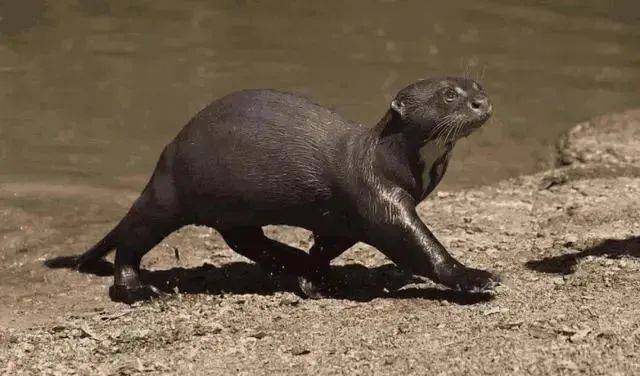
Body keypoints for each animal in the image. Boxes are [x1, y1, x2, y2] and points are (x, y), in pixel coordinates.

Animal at [53, 75, 500, 302]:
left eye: (477, 85)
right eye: (448, 95)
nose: (482, 102)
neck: (385, 158)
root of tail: (168, 150)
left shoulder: (349, 215)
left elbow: (328, 244)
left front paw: (313, 278)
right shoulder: (377, 197)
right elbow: (416, 244)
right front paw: (474, 276)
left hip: (227, 205)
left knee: (244, 239)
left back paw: (288, 258)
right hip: (173, 192)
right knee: (134, 237)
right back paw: (135, 289)